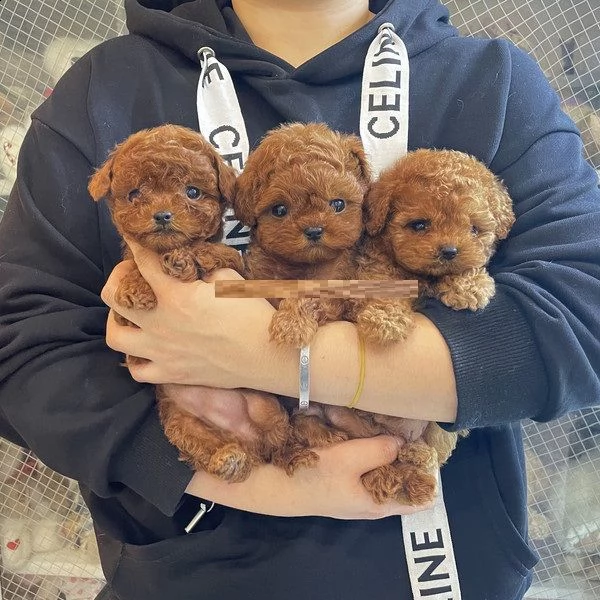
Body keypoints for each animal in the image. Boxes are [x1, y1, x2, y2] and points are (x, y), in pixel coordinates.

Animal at [90, 125, 292, 482]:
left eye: (193, 192)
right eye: (134, 194)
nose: (162, 215)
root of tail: (244, 439)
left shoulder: (238, 270)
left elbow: (217, 251)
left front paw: (187, 259)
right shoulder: (128, 333)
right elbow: (129, 273)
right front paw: (136, 287)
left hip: (263, 403)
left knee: (277, 435)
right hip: (179, 422)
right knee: (204, 448)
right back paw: (229, 459)